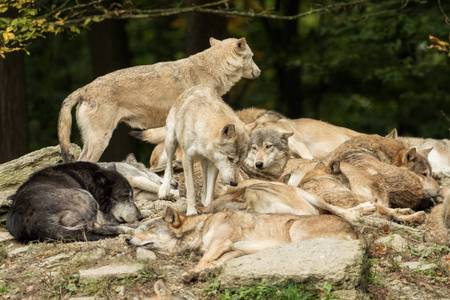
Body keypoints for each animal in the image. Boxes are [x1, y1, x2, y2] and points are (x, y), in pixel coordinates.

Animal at [7, 161, 144, 243]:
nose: (140, 217)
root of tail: (37, 220)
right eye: (125, 196)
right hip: (86, 197)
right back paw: (126, 228)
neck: (88, 179)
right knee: (92, 227)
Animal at [58, 38, 260, 164]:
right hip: (101, 139)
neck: (212, 69)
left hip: (91, 140)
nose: (259, 72)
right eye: (252, 57)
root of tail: (85, 88)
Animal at [125, 206, 366, 282]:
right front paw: (203, 273)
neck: (202, 227)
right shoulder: (233, 251)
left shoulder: (221, 242)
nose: (127, 239)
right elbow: (213, 263)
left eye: (151, 228)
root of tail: (356, 231)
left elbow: (204, 259)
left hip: (295, 229)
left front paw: (191, 273)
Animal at [148, 85, 253, 214]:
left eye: (241, 162)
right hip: (171, 142)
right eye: (230, 158)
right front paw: (191, 212)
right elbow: (191, 189)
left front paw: (208, 206)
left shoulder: (214, 163)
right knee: (168, 167)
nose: (234, 183)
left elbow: (210, 191)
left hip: (204, 161)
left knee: (205, 183)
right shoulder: (187, 158)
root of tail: (196, 86)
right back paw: (164, 189)